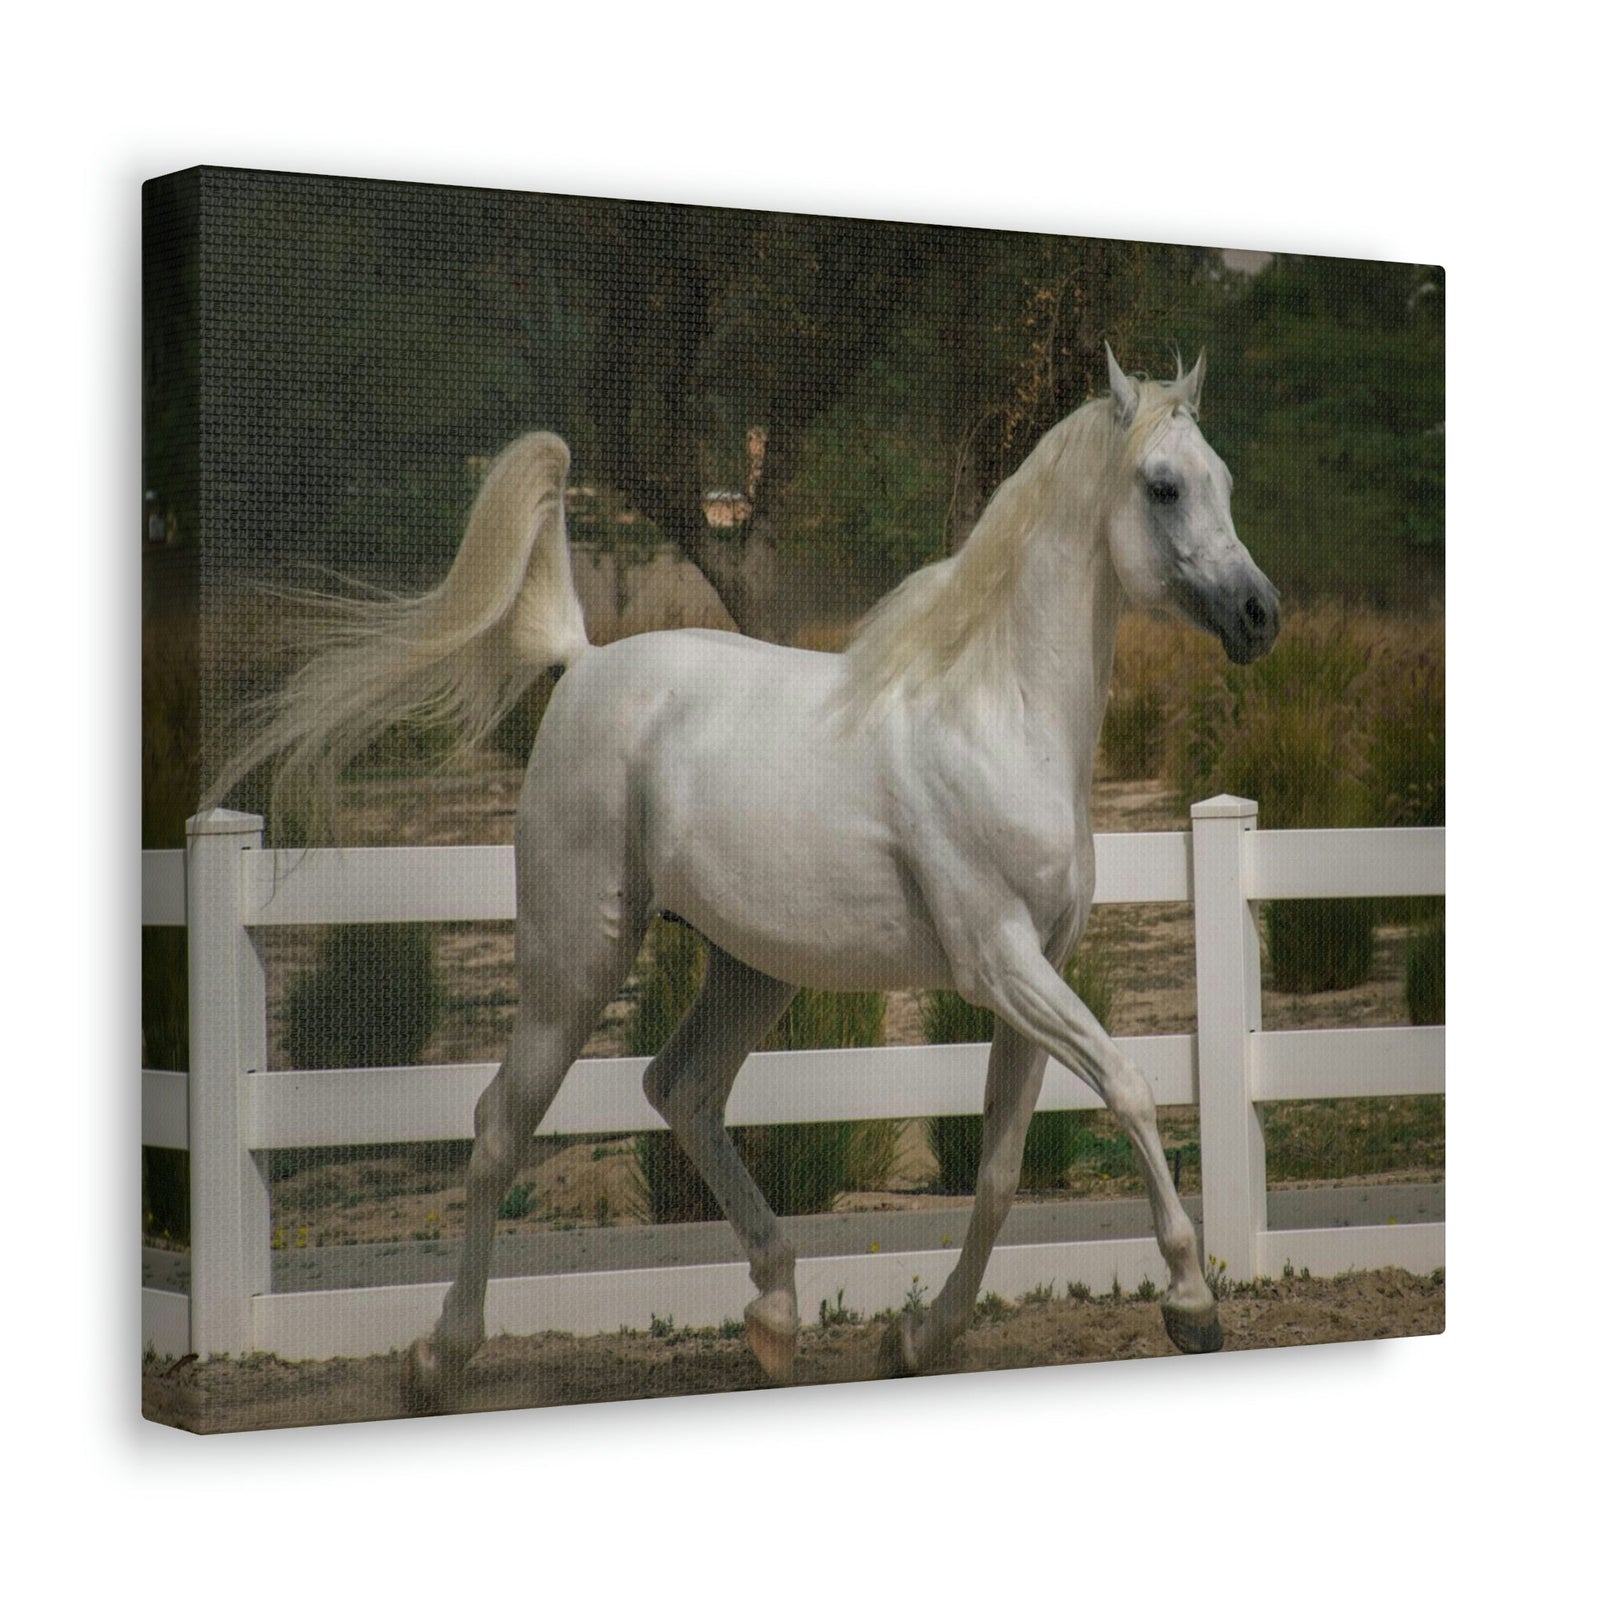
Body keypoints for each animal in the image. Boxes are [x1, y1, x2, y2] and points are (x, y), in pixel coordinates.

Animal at [208, 345, 1279, 1396]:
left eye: (1226, 480)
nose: (1260, 616)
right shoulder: (999, 963)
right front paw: (1191, 1303)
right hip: (575, 959)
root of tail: (584, 662)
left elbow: (1001, 1172)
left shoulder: (1038, 966)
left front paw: (917, 1339)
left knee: (680, 1090)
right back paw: (440, 1356)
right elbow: (1130, 1086)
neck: (997, 716)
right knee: (502, 1125)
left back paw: (774, 1313)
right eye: (1163, 484)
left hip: (750, 969)